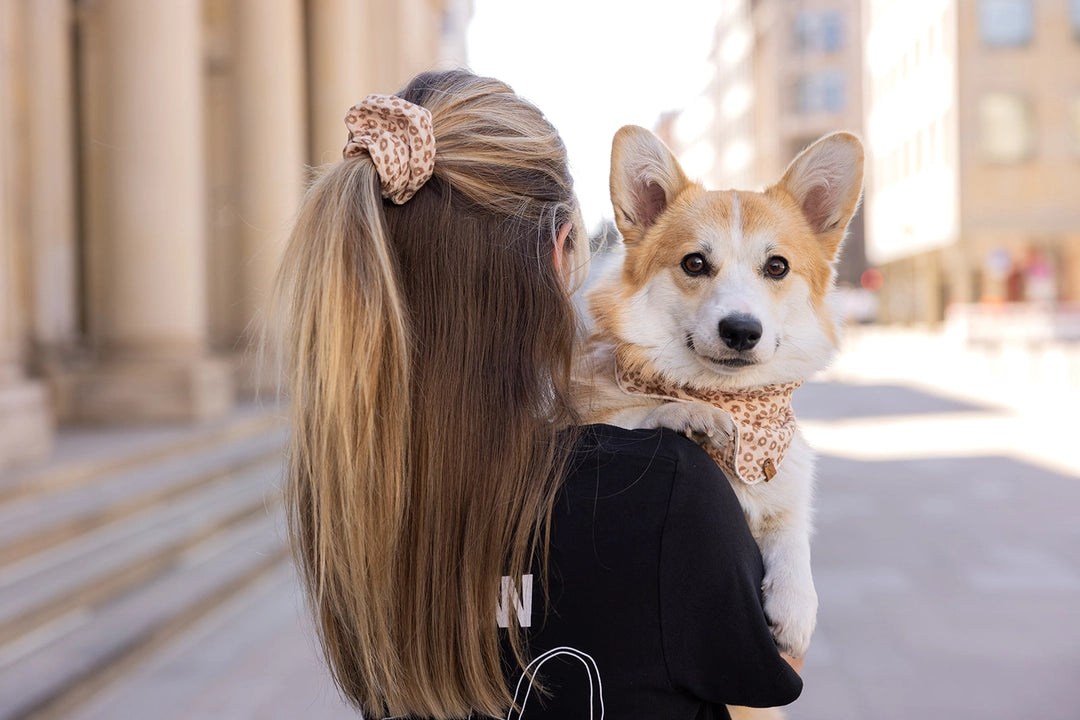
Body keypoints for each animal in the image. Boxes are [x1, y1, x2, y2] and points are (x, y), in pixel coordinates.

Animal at [578, 127, 864, 686]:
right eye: (694, 263)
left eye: (776, 267)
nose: (741, 330)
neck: (738, 407)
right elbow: (632, 410)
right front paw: (686, 414)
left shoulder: (786, 488)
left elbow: (792, 529)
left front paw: (796, 604)